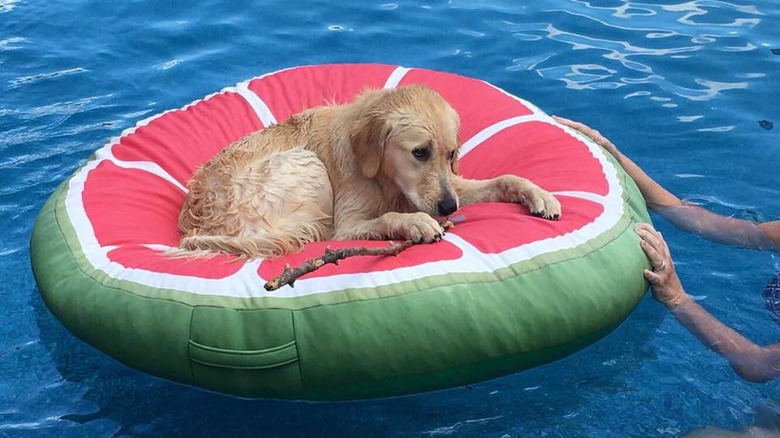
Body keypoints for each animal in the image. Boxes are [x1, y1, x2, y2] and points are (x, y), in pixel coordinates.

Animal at [178, 84, 560, 258]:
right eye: (419, 152)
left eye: (451, 153)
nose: (449, 209)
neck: (383, 178)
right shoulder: (346, 227)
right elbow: (387, 216)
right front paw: (415, 222)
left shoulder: (450, 185)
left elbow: (506, 178)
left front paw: (539, 194)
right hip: (307, 165)